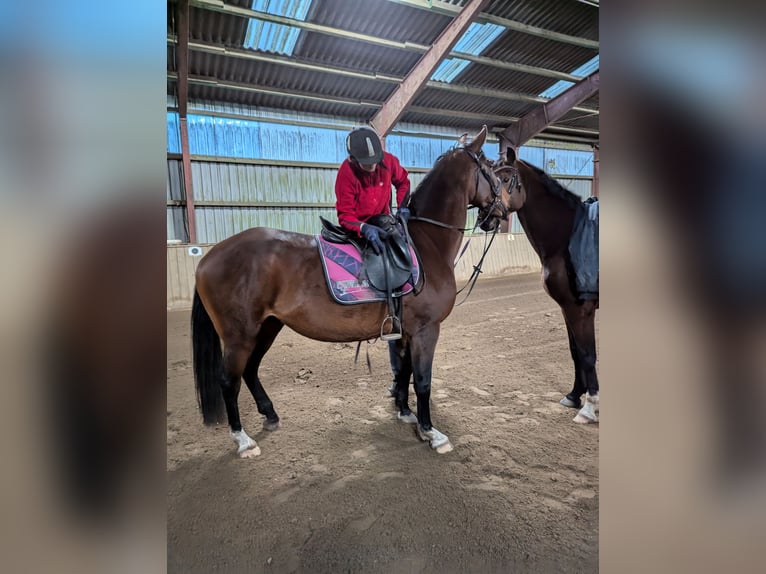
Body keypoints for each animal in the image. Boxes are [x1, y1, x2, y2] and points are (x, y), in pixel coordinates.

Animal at [190, 127, 512, 460]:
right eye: (491, 170)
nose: (503, 210)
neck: (426, 243)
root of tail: (208, 257)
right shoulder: (426, 330)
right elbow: (423, 381)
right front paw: (431, 431)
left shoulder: (407, 331)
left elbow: (404, 371)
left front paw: (404, 411)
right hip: (239, 335)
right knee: (229, 380)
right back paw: (242, 439)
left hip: (267, 326)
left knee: (251, 369)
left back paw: (270, 414)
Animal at [496, 151, 604, 426]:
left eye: (506, 178)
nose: (485, 216)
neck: (567, 236)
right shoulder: (566, 308)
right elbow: (576, 352)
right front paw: (574, 395)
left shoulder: (581, 309)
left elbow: (588, 354)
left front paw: (589, 407)